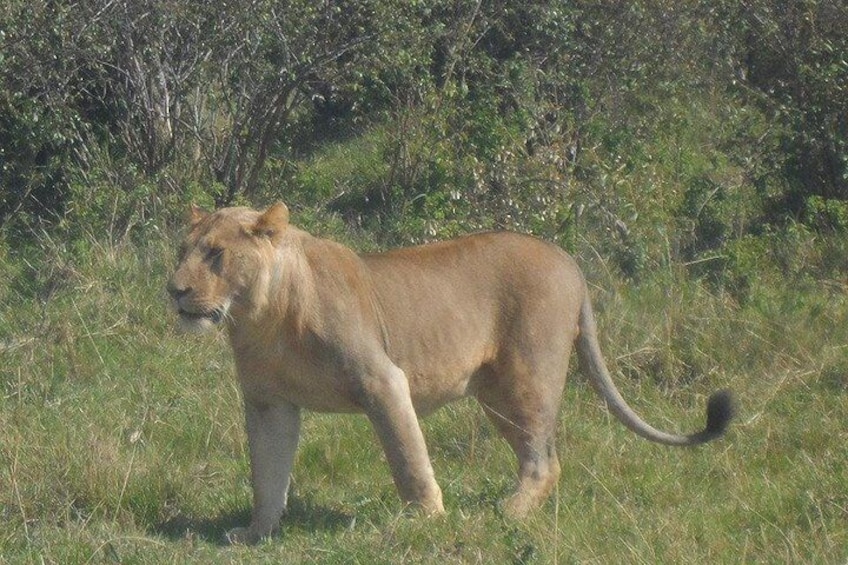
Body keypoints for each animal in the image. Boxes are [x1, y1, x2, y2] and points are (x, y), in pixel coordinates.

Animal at [167, 202, 736, 540]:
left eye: (215, 254)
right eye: (182, 251)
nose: (174, 289)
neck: (261, 317)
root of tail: (567, 258)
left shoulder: (383, 380)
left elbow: (408, 458)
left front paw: (426, 521)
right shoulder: (268, 403)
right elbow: (267, 473)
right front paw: (256, 534)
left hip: (528, 378)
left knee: (545, 459)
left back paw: (508, 514)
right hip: (495, 395)